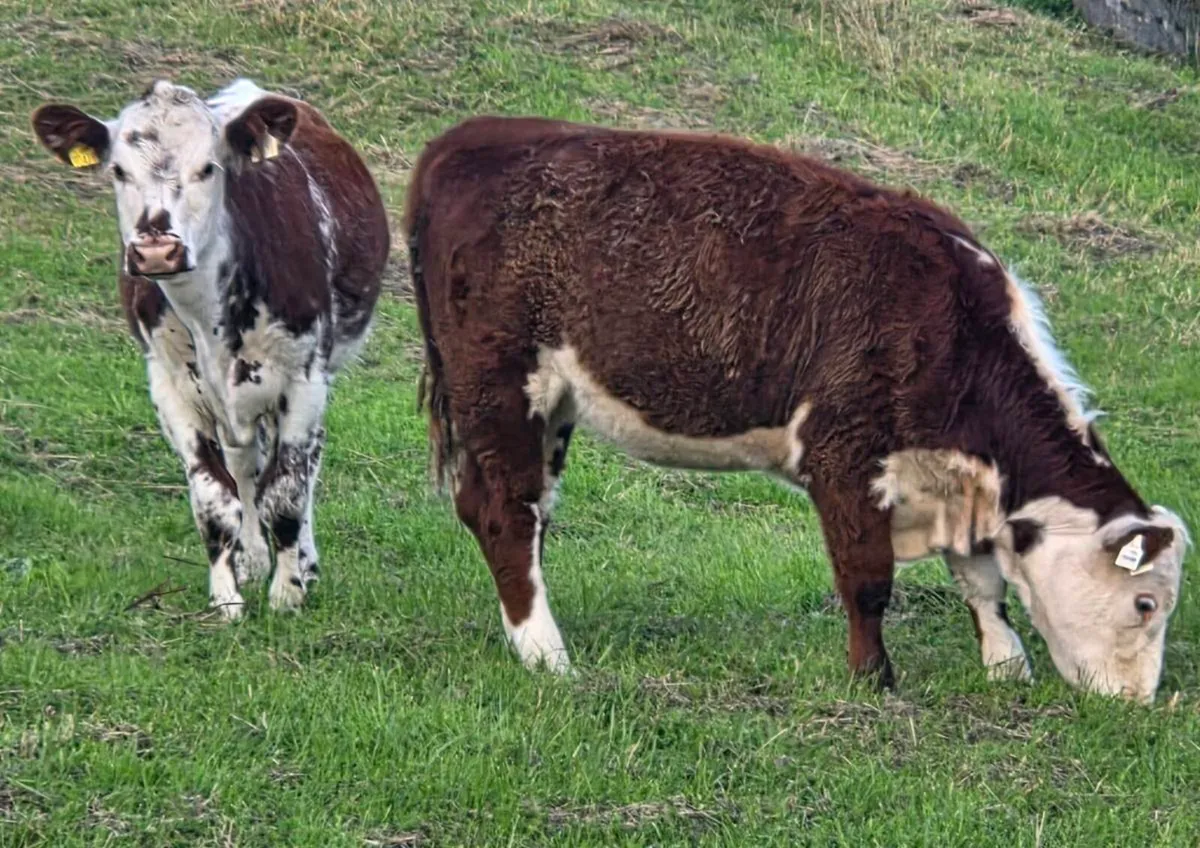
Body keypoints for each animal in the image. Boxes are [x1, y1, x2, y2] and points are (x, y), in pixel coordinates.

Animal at [32, 79, 389, 618]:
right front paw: (227, 597)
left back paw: (303, 561)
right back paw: (254, 559)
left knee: (304, 465)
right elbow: (214, 499)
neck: (209, 319)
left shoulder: (303, 377)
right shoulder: (169, 386)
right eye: (118, 170)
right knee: (246, 466)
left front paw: (287, 594)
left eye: (208, 167)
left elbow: (287, 493)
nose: (157, 250)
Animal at [403, 116, 1190, 702]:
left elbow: (982, 582)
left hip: (550, 404)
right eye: (1146, 604)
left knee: (519, 511)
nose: (1139, 701)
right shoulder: (844, 456)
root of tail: (468, 139)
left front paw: (1005, 664)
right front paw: (875, 678)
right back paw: (546, 654)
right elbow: (868, 581)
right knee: (507, 514)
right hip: (503, 383)